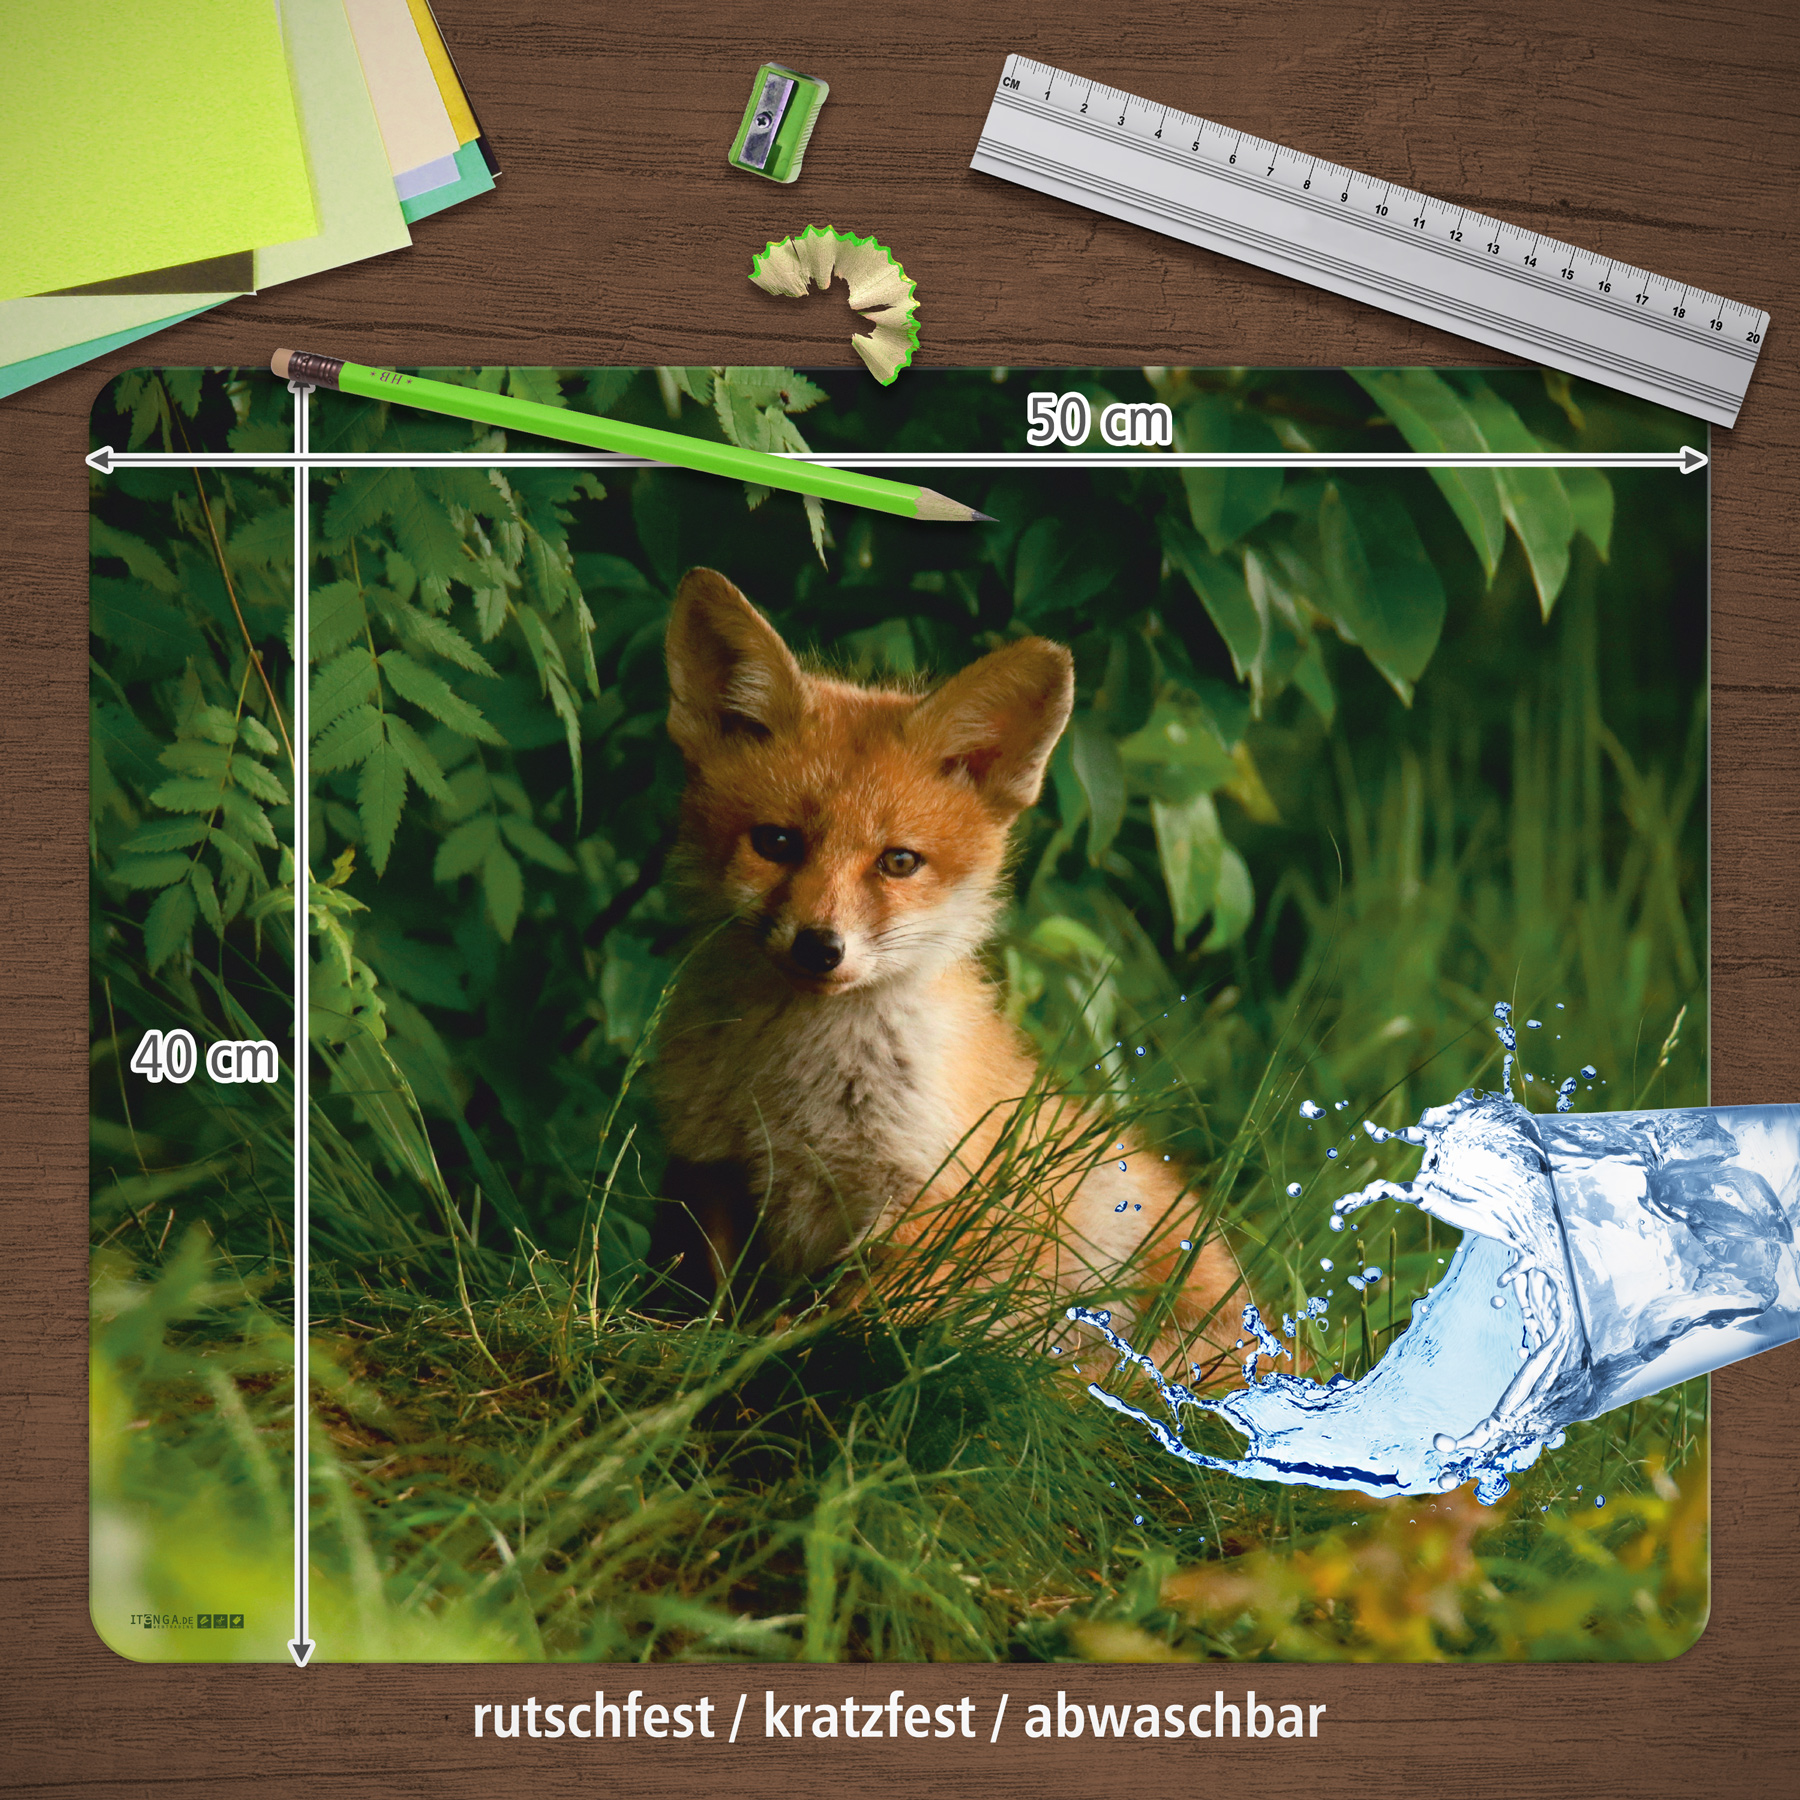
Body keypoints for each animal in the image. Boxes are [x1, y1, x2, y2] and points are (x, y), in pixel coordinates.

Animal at [652, 567, 1250, 1377]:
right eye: (775, 843)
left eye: (899, 861)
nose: (819, 948)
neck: (795, 1089)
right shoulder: (710, 1166)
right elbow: (708, 1304)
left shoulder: (926, 1201)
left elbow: (847, 1328)